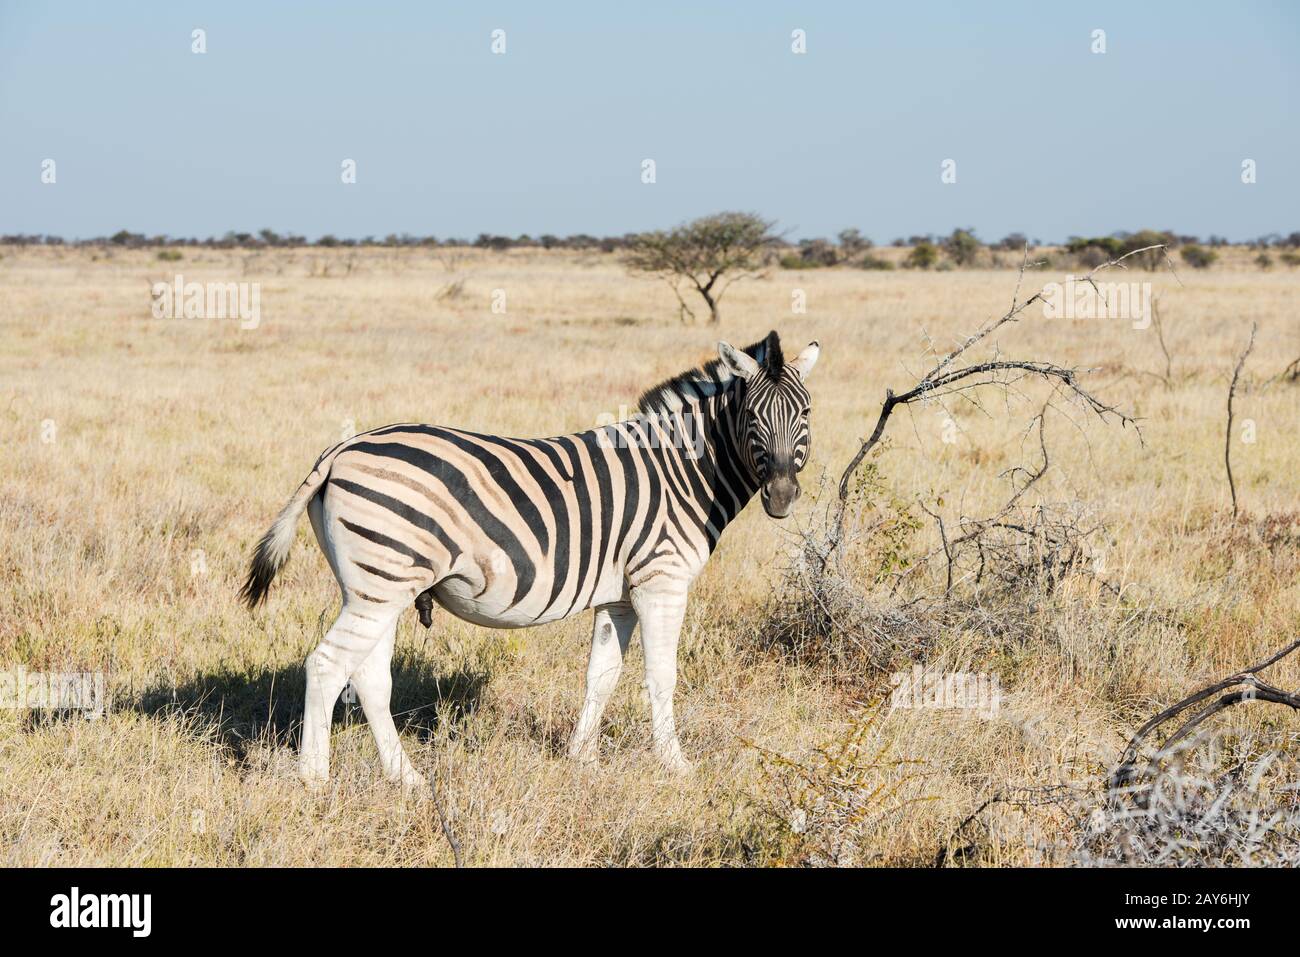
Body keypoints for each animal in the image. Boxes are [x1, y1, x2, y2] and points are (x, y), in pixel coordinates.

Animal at [239, 332, 816, 790]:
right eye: (752, 416)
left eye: (805, 414)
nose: (783, 497)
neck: (681, 471)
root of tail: (341, 449)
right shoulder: (661, 580)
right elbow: (661, 674)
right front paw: (675, 767)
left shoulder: (618, 595)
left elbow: (602, 674)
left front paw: (582, 760)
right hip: (381, 583)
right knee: (326, 665)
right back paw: (315, 781)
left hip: (376, 588)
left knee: (368, 678)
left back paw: (407, 779)